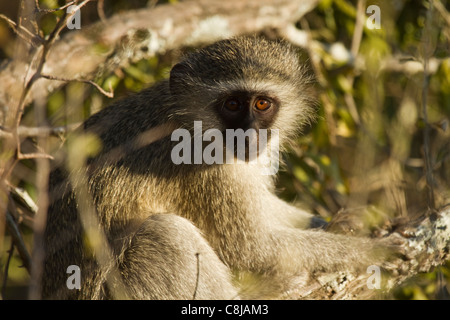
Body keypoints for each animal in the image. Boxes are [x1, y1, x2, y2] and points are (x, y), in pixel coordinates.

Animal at [42, 36, 400, 298]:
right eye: (232, 104)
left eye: (262, 103)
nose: (249, 134)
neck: (189, 120)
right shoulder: (208, 166)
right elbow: (253, 248)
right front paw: (372, 252)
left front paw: (345, 220)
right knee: (164, 232)